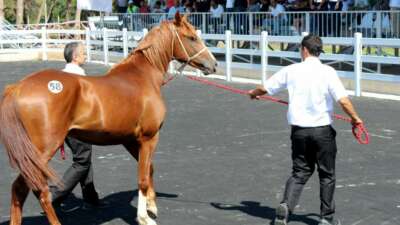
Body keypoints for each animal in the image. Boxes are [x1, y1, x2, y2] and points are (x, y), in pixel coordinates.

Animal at [0, 12, 217, 225]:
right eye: (192, 37)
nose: (214, 64)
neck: (143, 77)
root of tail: (18, 87)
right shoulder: (149, 138)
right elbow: (143, 178)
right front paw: (144, 217)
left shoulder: (130, 140)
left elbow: (149, 170)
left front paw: (151, 206)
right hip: (41, 151)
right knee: (33, 190)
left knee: (19, 191)